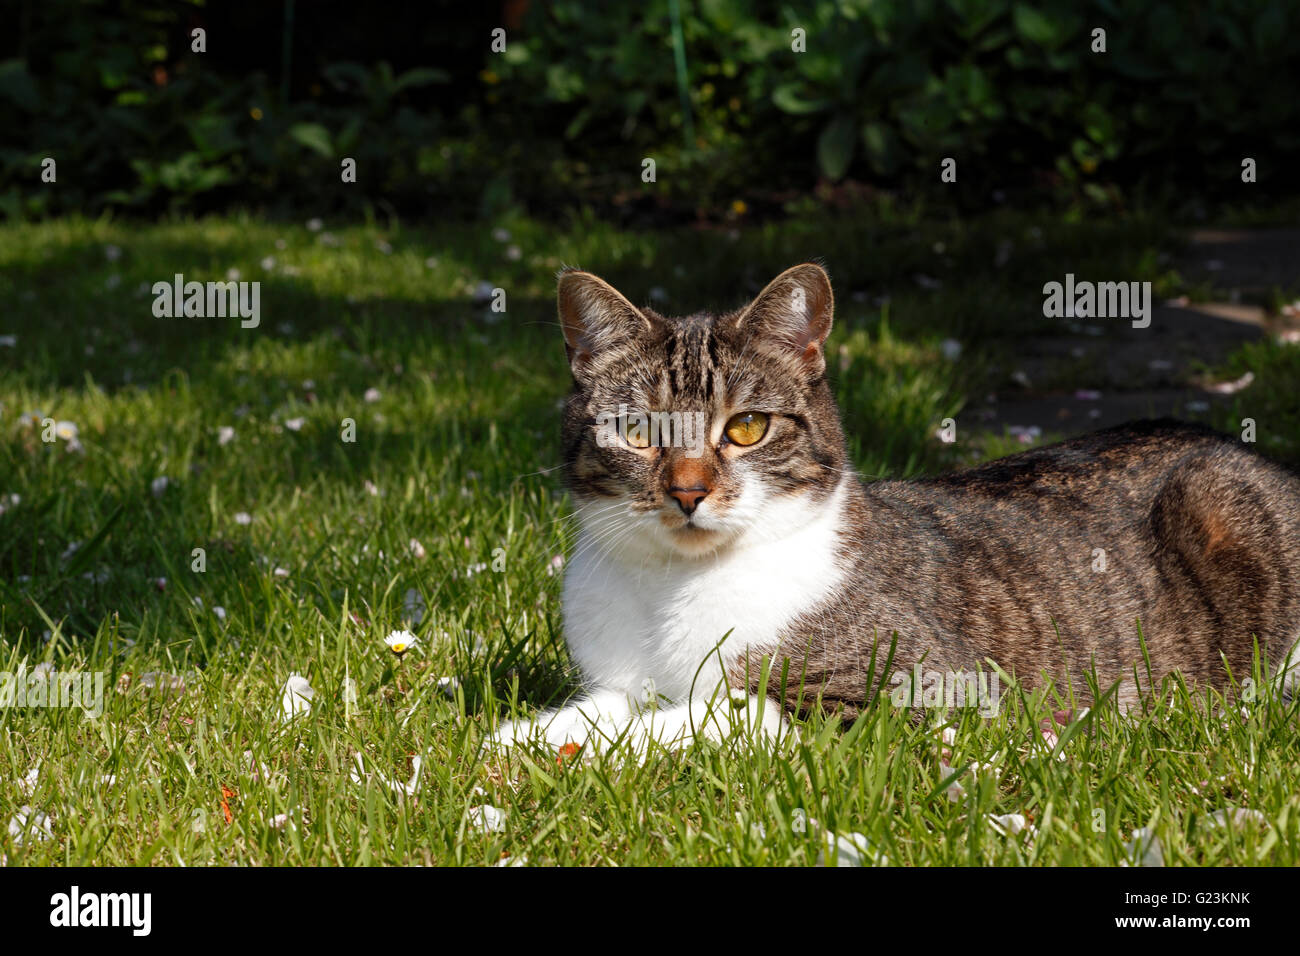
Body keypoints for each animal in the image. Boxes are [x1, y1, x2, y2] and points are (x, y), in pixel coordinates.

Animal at [491, 265, 1294, 749]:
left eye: (746, 427)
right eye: (635, 430)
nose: (687, 490)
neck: (670, 590)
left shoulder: (926, 690)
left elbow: (712, 713)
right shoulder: (615, 678)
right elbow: (602, 710)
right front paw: (521, 741)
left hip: (1218, 501)